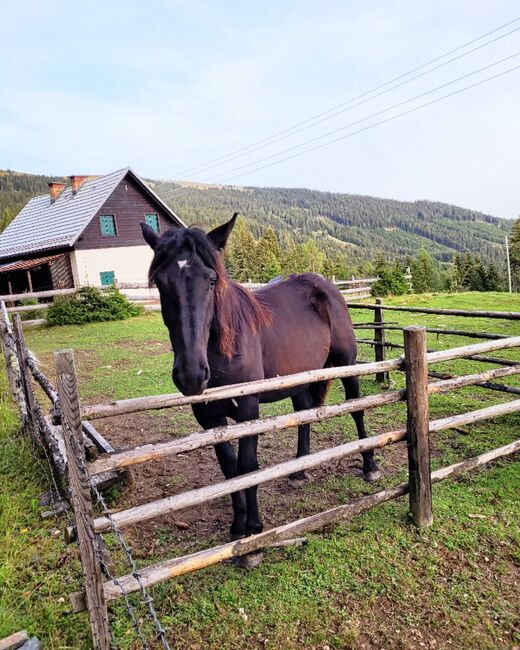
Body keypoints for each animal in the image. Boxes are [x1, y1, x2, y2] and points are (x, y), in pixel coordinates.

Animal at [140, 214, 380, 556]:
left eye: (211, 280)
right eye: (161, 282)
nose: (191, 375)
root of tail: (326, 286)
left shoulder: (248, 411)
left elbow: (248, 465)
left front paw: (253, 535)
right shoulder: (209, 418)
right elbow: (230, 469)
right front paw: (237, 528)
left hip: (347, 364)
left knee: (357, 409)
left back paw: (370, 465)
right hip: (298, 377)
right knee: (304, 413)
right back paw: (298, 471)